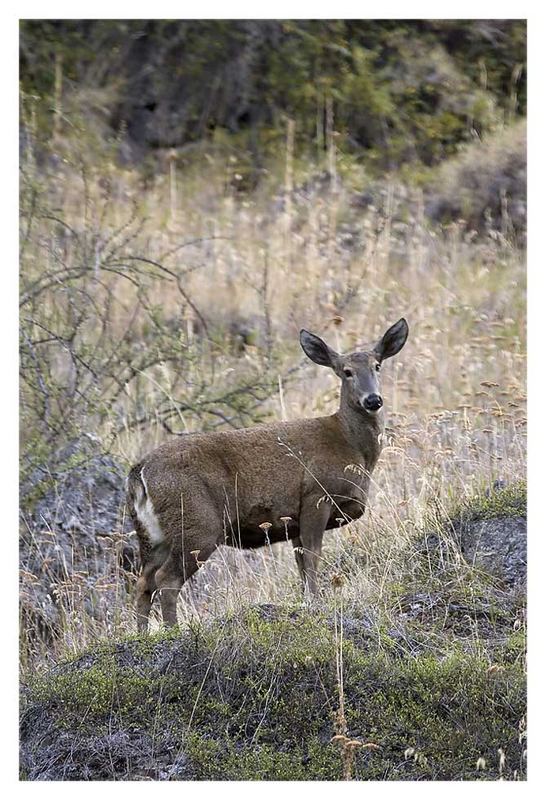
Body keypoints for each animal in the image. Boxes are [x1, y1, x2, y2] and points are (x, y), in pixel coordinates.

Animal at [127, 318, 406, 632]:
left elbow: (301, 564)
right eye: (346, 371)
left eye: (377, 366)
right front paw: (316, 603)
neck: (353, 449)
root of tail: (140, 472)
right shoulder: (316, 496)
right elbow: (313, 559)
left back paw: (143, 635)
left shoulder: (294, 521)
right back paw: (172, 630)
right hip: (197, 523)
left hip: (154, 535)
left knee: (144, 582)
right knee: (167, 579)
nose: (373, 400)